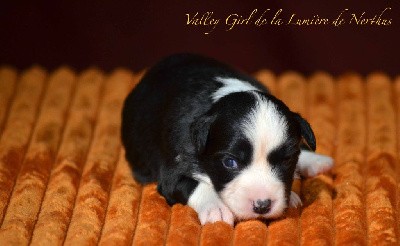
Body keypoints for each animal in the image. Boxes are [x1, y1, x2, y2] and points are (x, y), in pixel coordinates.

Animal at [122, 53, 334, 225]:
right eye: (230, 162)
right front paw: (216, 208)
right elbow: (196, 185)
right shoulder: (173, 171)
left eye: (287, 160)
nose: (262, 205)